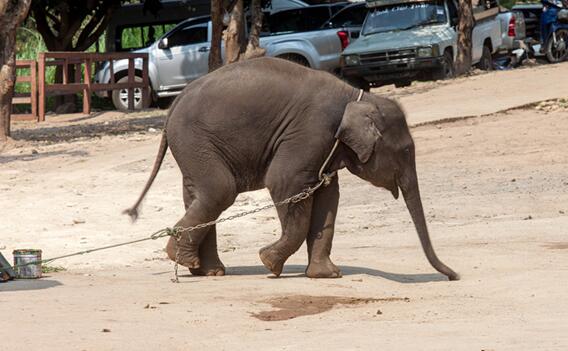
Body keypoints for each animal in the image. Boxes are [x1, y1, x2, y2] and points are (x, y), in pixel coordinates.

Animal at [126, 58, 460, 284]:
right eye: (406, 151)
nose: (454, 275)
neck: (357, 96)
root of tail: (174, 104)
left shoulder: (326, 148)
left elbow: (328, 197)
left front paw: (327, 275)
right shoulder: (310, 133)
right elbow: (284, 184)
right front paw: (269, 263)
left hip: (193, 146)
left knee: (199, 195)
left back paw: (205, 270)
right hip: (195, 140)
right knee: (220, 190)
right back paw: (182, 258)